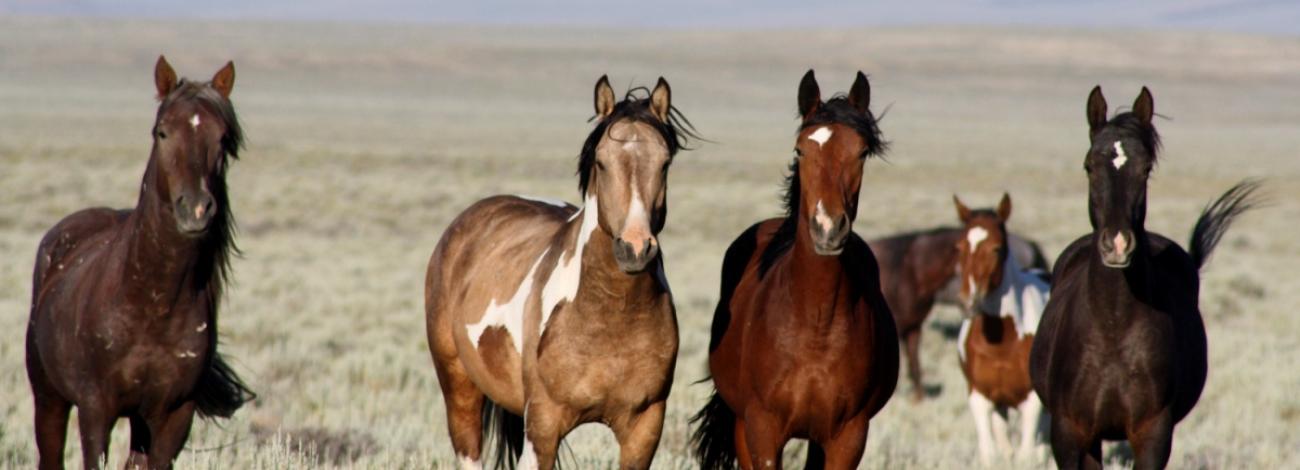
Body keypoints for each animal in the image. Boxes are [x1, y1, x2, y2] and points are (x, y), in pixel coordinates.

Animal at [25, 56, 255, 470]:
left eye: (222, 138)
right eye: (162, 132)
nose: (196, 209)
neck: (152, 301)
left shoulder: (173, 415)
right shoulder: (95, 410)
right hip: (49, 399)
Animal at [425, 76, 695, 470]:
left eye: (664, 163)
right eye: (601, 162)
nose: (635, 248)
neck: (610, 314)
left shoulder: (644, 429)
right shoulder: (543, 427)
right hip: (459, 389)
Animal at [691, 70, 898, 470]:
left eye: (861, 152)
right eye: (801, 149)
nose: (828, 228)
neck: (815, 322)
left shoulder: (848, 436)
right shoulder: (762, 429)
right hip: (741, 423)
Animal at [951, 193, 1049, 465]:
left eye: (996, 248)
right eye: (959, 248)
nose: (967, 302)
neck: (1003, 342)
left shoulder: (1032, 401)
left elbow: (1027, 456)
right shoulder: (980, 398)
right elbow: (990, 454)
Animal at [1029, 86, 1261, 469]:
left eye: (1145, 168)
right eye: (1089, 165)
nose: (1118, 244)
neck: (1111, 326)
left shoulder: (1153, 434)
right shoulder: (1068, 434)